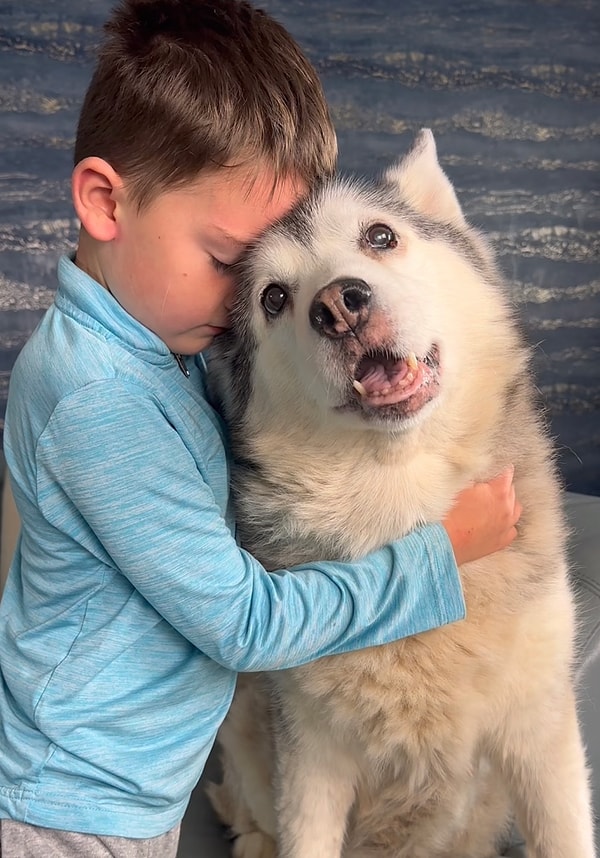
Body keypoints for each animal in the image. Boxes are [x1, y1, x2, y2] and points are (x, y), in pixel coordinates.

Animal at [207, 130, 596, 856]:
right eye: (273, 298)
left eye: (380, 236)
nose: (338, 305)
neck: (408, 516)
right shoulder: (311, 762)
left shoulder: (540, 738)